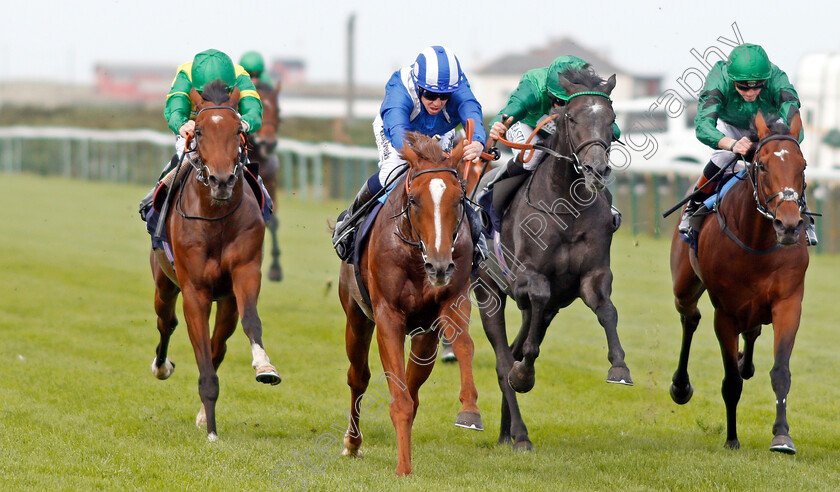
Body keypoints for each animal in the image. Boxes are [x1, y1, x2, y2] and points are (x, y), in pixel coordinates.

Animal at [149, 80, 280, 442]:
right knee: (166, 322)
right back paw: (161, 366)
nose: (222, 180)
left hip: (226, 302)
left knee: (218, 343)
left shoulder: (244, 274)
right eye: (200, 131)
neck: (215, 217)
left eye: (238, 130)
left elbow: (251, 322)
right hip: (164, 283)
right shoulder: (194, 291)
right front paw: (211, 430)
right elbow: (201, 354)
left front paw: (264, 366)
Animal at [334, 132, 480, 476]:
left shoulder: (450, 304)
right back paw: (352, 443)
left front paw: (470, 410)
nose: (439, 266)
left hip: (424, 336)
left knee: (412, 387)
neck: (417, 257)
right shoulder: (388, 317)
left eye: (459, 200)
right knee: (358, 376)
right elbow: (398, 396)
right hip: (356, 316)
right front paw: (403, 468)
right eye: (414, 201)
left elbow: (464, 345)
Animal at [472, 67, 632, 452]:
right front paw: (524, 376)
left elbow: (607, 311)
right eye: (571, 117)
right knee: (504, 359)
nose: (596, 169)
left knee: (516, 348)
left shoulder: (592, 276)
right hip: (487, 292)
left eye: (611, 119)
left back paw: (507, 431)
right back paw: (519, 433)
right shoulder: (524, 279)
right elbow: (537, 298)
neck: (566, 207)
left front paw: (619, 368)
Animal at [668, 111, 808, 454]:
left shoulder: (788, 303)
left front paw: (782, 436)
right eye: (763, 165)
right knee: (690, 318)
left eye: (802, 166)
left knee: (752, 331)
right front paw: (731, 438)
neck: (756, 241)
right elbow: (730, 381)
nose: (788, 225)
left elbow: (781, 372)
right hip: (683, 287)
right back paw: (681, 386)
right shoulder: (726, 314)